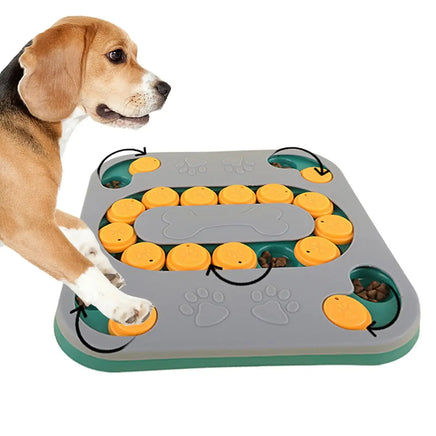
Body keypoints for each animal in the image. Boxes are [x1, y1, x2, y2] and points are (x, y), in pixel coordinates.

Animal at [0, 16, 170, 324]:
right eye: (116, 55)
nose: (167, 88)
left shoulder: (45, 212)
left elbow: (81, 226)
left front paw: (101, 261)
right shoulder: (29, 226)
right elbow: (78, 266)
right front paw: (123, 305)